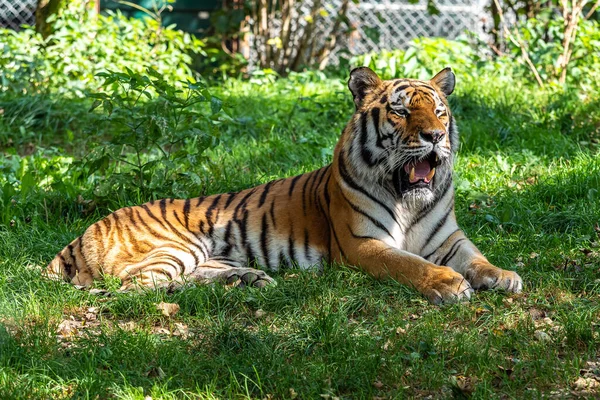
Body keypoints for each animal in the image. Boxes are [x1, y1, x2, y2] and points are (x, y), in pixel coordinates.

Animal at [45, 67, 524, 304]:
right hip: (173, 246)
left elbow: (476, 258)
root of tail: (83, 233)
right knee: (134, 288)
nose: (436, 137)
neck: (410, 201)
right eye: (402, 111)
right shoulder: (363, 244)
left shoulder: (449, 238)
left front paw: (503, 276)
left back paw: (247, 281)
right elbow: (409, 264)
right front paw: (448, 284)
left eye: (440, 112)